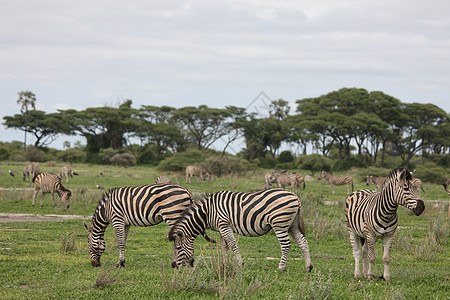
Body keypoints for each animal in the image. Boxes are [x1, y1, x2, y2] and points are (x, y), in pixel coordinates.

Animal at [83, 183, 215, 268]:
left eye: (88, 243)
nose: (94, 264)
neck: (106, 210)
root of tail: (187, 190)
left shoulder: (117, 220)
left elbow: (120, 242)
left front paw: (119, 263)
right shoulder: (126, 223)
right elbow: (124, 242)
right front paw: (123, 261)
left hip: (173, 214)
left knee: (180, 239)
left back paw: (178, 263)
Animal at [169, 189, 312, 274]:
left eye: (178, 247)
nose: (173, 266)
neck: (207, 212)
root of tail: (294, 195)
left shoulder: (224, 224)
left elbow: (232, 245)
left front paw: (239, 263)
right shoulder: (221, 228)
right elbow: (224, 247)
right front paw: (224, 264)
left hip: (280, 224)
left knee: (286, 245)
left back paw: (281, 267)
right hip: (292, 225)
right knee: (303, 242)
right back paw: (308, 267)